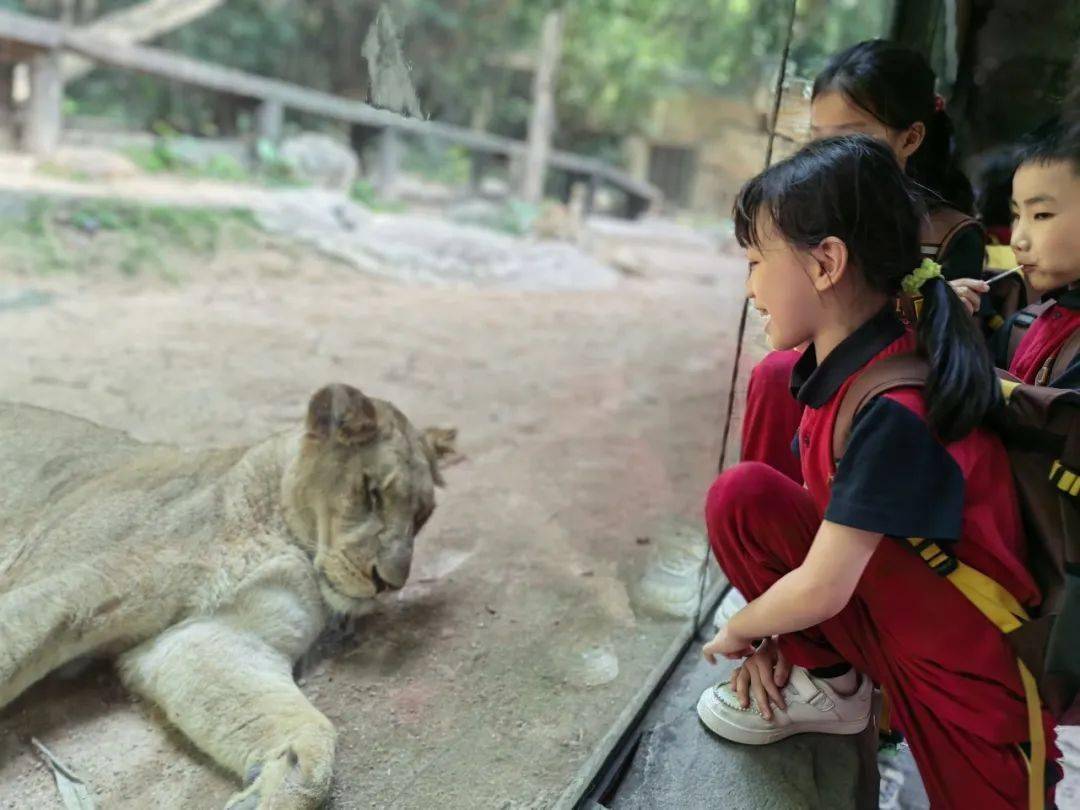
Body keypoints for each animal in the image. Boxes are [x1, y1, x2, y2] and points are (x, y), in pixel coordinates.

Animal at [0, 384, 453, 807]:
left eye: (422, 517)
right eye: (371, 491)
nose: (390, 583)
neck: (285, 535)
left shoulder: (214, 635)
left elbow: (301, 727)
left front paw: (280, 782)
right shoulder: (93, 584)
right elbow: (15, 643)